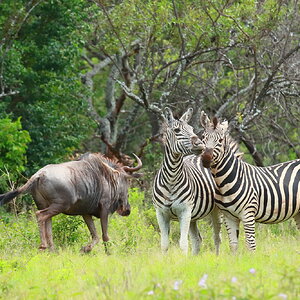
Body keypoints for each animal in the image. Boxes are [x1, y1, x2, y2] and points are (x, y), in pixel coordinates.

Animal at [154, 106, 221, 254]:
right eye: (177, 131)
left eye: (191, 129)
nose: (200, 145)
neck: (171, 179)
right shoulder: (161, 213)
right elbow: (164, 244)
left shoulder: (185, 211)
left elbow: (183, 244)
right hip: (193, 217)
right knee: (197, 240)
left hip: (216, 210)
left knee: (217, 238)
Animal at [199, 111, 300, 252]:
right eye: (203, 137)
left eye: (220, 140)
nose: (206, 159)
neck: (225, 182)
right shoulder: (228, 216)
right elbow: (233, 246)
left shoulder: (248, 214)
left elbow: (251, 246)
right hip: (298, 212)